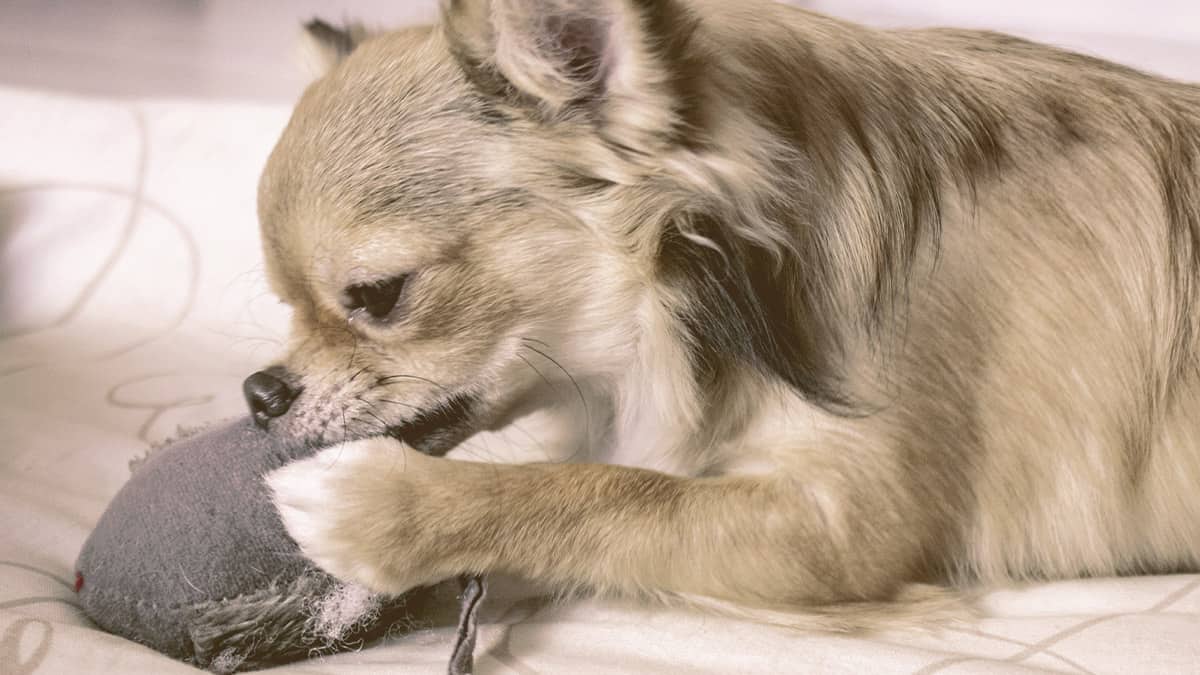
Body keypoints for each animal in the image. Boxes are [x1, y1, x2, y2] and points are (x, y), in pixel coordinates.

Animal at [258, 0, 1200, 619]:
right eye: (282, 303)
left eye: (379, 296)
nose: (258, 393)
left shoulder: (843, 528)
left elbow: (611, 491)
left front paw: (387, 506)